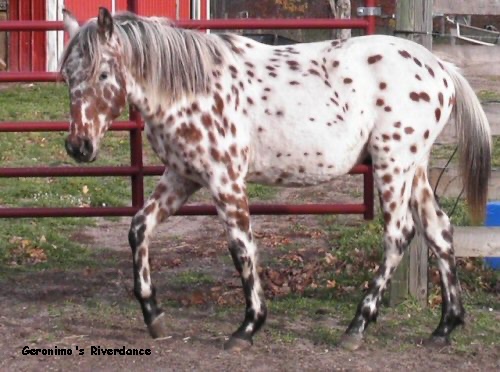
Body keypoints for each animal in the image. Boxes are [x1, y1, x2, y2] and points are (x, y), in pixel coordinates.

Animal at [59, 8, 492, 352]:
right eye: (66, 75)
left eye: (103, 72)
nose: (79, 146)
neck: (190, 89)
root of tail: (442, 70)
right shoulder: (182, 177)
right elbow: (138, 228)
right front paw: (153, 315)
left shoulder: (226, 180)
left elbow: (241, 248)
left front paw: (249, 326)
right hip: (414, 170)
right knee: (439, 231)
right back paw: (445, 326)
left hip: (393, 165)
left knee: (399, 234)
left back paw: (357, 326)